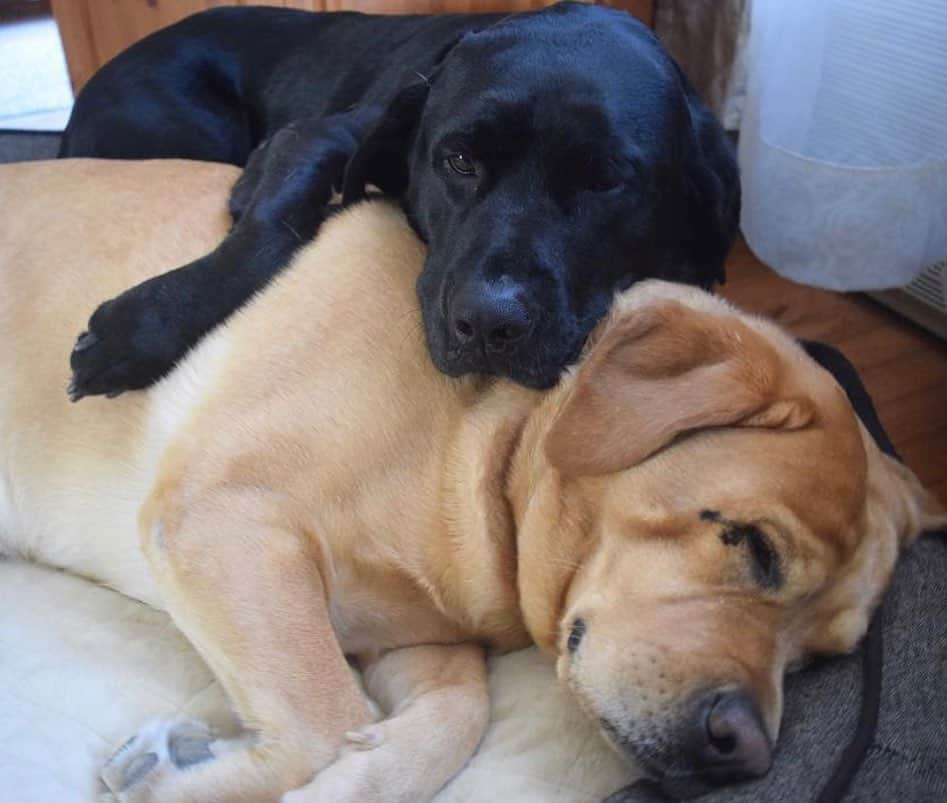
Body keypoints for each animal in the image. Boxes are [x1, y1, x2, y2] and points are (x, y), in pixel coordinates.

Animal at [0, 159, 940, 803]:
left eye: (818, 659)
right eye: (749, 544)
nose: (743, 749)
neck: (480, 442)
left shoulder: (409, 636)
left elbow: (447, 717)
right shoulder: (221, 520)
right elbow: (325, 719)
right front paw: (183, 776)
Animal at [63, 0, 740, 400]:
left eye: (604, 181)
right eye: (459, 160)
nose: (489, 323)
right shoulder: (320, 134)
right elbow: (269, 226)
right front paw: (148, 324)